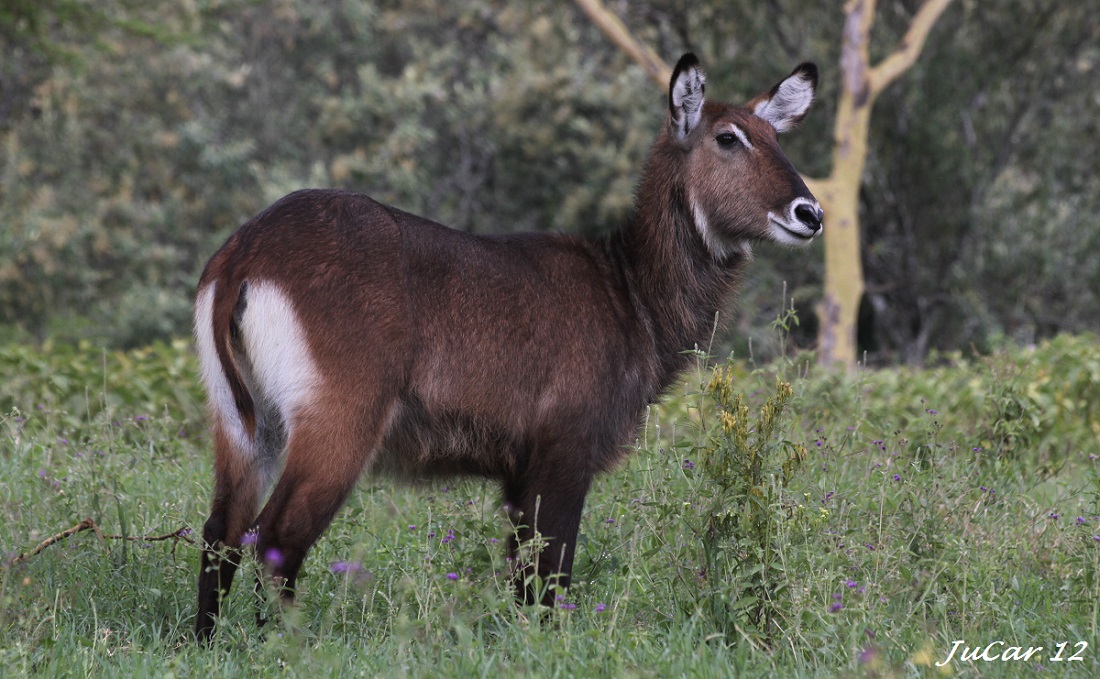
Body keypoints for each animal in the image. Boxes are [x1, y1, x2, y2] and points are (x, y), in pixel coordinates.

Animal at [193, 53, 822, 640]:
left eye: (775, 138)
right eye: (728, 137)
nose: (810, 213)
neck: (629, 292)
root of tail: (246, 251)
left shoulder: (518, 474)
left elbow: (524, 578)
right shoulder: (563, 453)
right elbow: (549, 574)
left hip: (241, 422)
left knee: (221, 532)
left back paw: (206, 642)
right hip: (337, 423)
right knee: (275, 538)